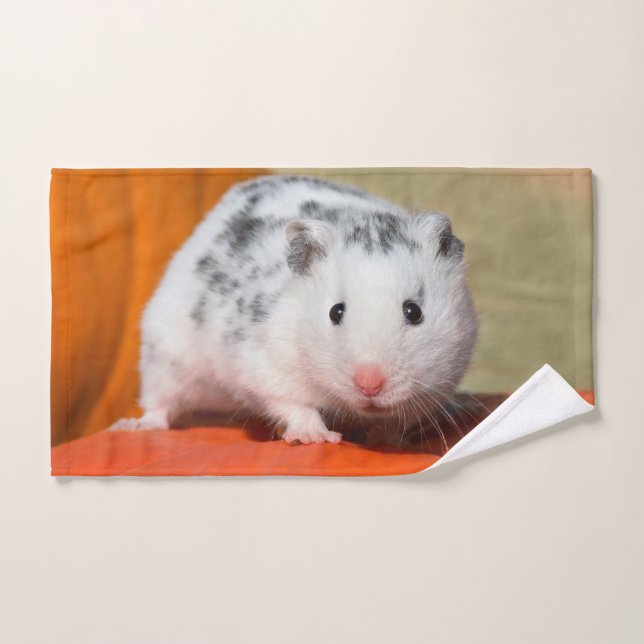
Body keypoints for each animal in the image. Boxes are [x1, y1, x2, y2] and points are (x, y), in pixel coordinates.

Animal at [110, 175, 479, 445]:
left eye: (414, 312)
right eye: (335, 312)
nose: (369, 385)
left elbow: (396, 423)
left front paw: (387, 440)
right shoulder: (266, 367)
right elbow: (293, 404)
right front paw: (318, 438)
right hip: (165, 355)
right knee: (159, 403)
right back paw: (132, 426)